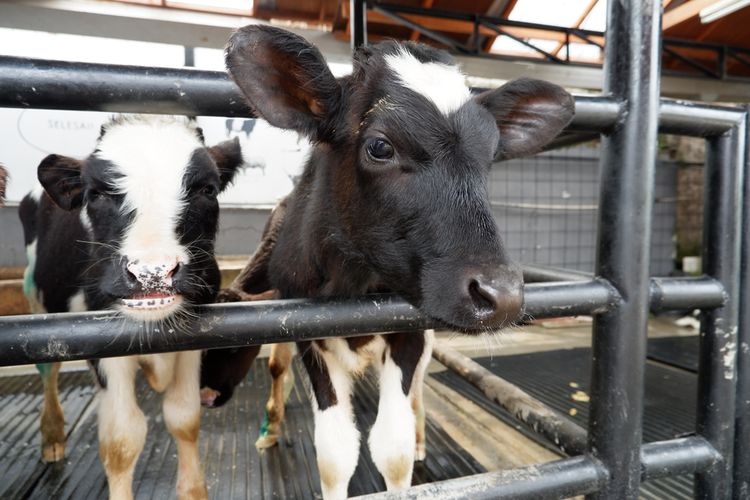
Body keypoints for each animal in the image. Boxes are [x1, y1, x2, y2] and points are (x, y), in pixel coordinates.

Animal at [18, 114, 241, 500]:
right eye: (95, 194)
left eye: (207, 190)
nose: (153, 273)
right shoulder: (102, 346)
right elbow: (123, 438)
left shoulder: (194, 339)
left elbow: (184, 417)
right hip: (39, 304)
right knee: (48, 370)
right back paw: (52, 436)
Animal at [201, 27, 576, 500]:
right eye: (380, 146)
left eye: (490, 157)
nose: (502, 295)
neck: (353, 283)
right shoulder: (304, 329)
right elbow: (334, 452)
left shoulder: (411, 330)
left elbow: (393, 448)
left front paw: (408, 446)